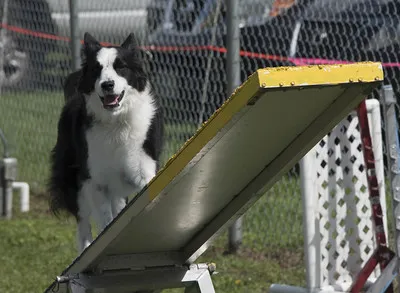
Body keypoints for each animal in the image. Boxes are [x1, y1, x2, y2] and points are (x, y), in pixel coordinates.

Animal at [48, 31, 164, 251]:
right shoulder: (96, 178)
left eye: (121, 67)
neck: (115, 122)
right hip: (74, 181)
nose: (107, 85)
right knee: (83, 222)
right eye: (96, 69)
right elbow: (105, 220)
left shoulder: (141, 167)